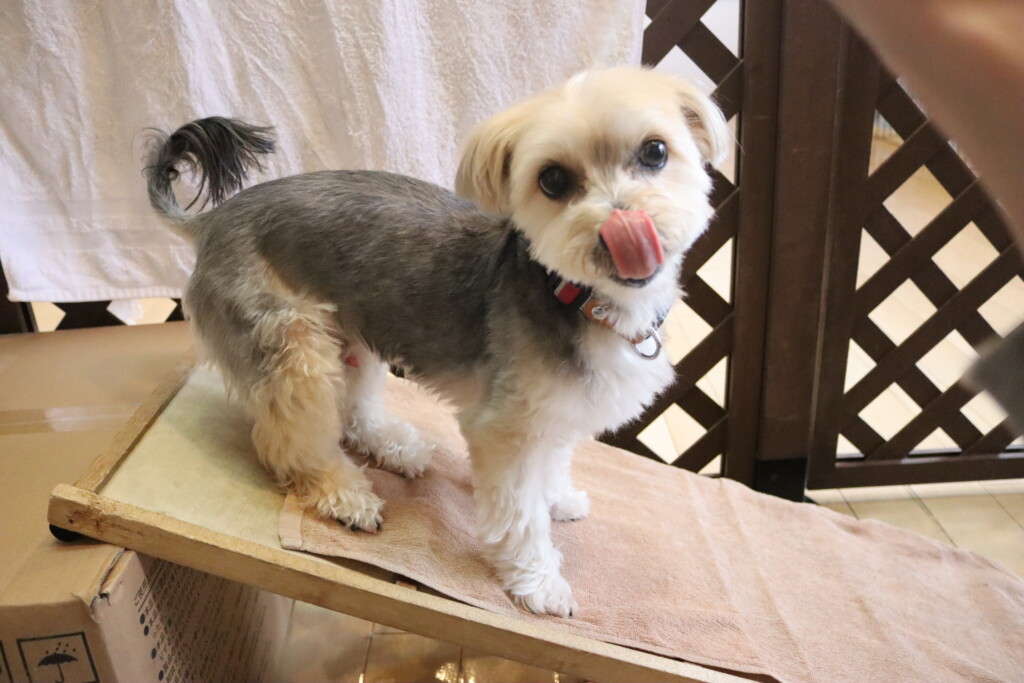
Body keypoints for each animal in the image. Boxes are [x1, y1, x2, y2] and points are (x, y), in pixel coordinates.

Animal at [143, 67, 728, 617]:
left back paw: (395, 447)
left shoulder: (558, 408)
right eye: (553, 180)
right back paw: (344, 494)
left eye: (655, 151)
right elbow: (520, 516)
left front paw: (557, 498)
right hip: (291, 345)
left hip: (352, 332)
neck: (583, 300)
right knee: (290, 441)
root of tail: (213, 220)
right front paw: (539, 582)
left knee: (352, 411)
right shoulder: (506, 430)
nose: (622, 224)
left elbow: (554, 463)